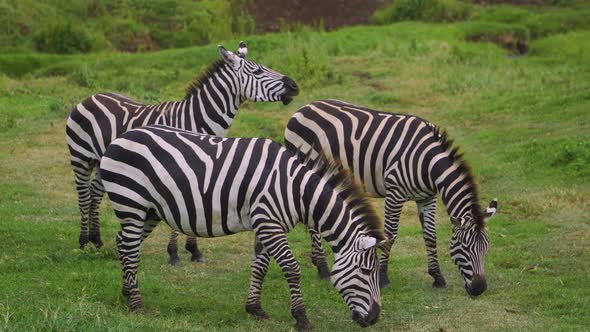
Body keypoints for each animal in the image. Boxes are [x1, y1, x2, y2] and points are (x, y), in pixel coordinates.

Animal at [67, 42, 300, 266]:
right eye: (258, 71)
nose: (295, 86)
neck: (196, 119)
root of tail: (91, 97)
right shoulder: (175, 167)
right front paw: (173, 253)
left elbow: (196, 206)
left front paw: (194, 250)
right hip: (80, 158)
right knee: (84, 195)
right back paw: (83, 241)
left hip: (104, 162)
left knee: (95, 193)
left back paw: (96, 239)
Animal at [100, 125, 388, 330]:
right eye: (366, 271)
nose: (374, 318)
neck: (296, 190)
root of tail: (119, 138)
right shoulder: (270, 223)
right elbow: (291, 269)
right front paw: (301, 318)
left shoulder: (265, 224)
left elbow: (260, 267)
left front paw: (255, 309)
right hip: (132, 204)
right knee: (130, 251)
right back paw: (137, 304)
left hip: (148, 212)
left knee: (123, 243)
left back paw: (126, 292)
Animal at [286, 99, 500, 296]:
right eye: (465, 247)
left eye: (486, 247)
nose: (479, 289)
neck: (428, 164)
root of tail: (303, 107)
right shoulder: (395, 194)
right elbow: (390, 235)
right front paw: (383, 278)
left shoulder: (427, 198)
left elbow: (430, 236)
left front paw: (437, 276)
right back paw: (322, 268)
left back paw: (318, 262)